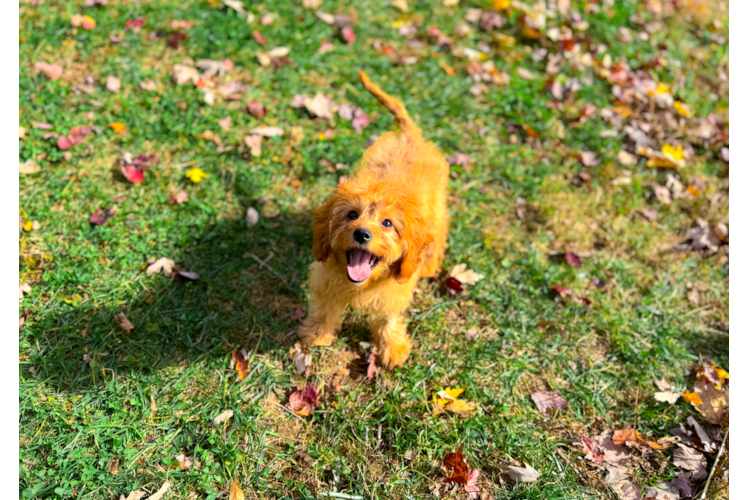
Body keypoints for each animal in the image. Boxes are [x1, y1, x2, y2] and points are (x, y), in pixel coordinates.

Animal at [298, 71, 450, 368]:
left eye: (387, 223)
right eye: (352, 215)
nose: (361, 234)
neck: (361, 285)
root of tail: (410, 137)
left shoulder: (394, 292)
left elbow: (387, 318)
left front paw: (392, 347)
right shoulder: (325, 279)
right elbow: (325, 308)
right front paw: (317, 335)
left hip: (438, 209)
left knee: (439, 234)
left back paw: (429, 263)